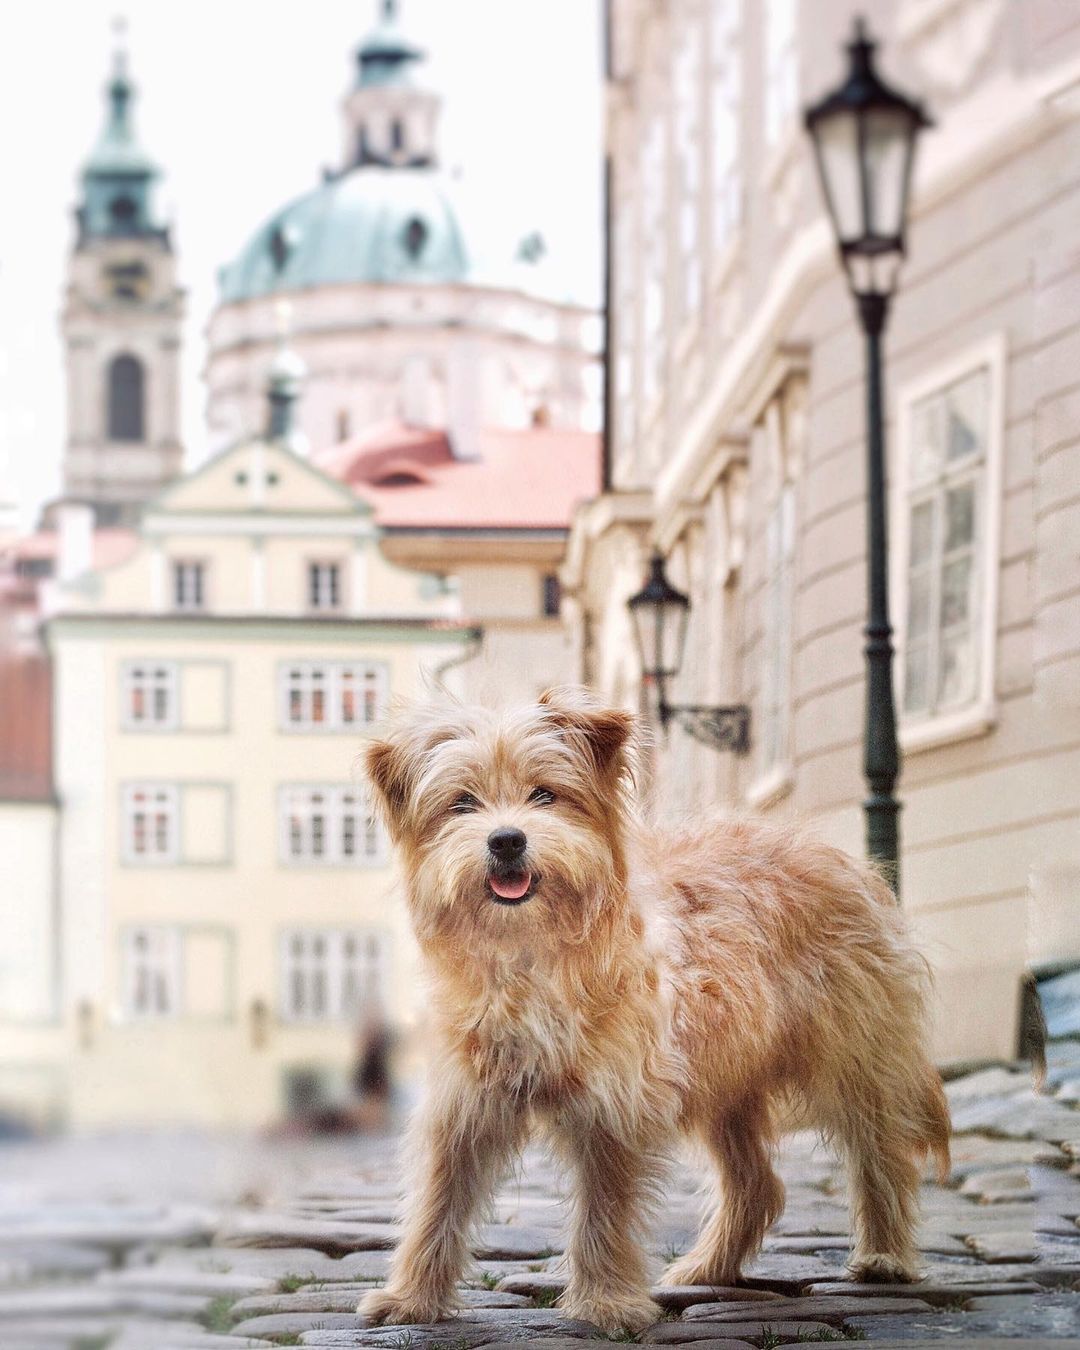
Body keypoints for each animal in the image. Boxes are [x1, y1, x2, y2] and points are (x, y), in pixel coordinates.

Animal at [361, 691, 945, 1333]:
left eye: (545, 794)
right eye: (463, 802)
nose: (506, 840)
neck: (532, 952)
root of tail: (844, 860)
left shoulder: (614, 1103)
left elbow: (605, 1210)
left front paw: (607, 1303)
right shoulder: (464, 1104)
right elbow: (438, 1201)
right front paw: (410, 1298)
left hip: (854, 1061)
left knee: (880, 1154)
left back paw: (885, 1256)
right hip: (726, 1084)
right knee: (758, 1185)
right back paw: (708, 1267)